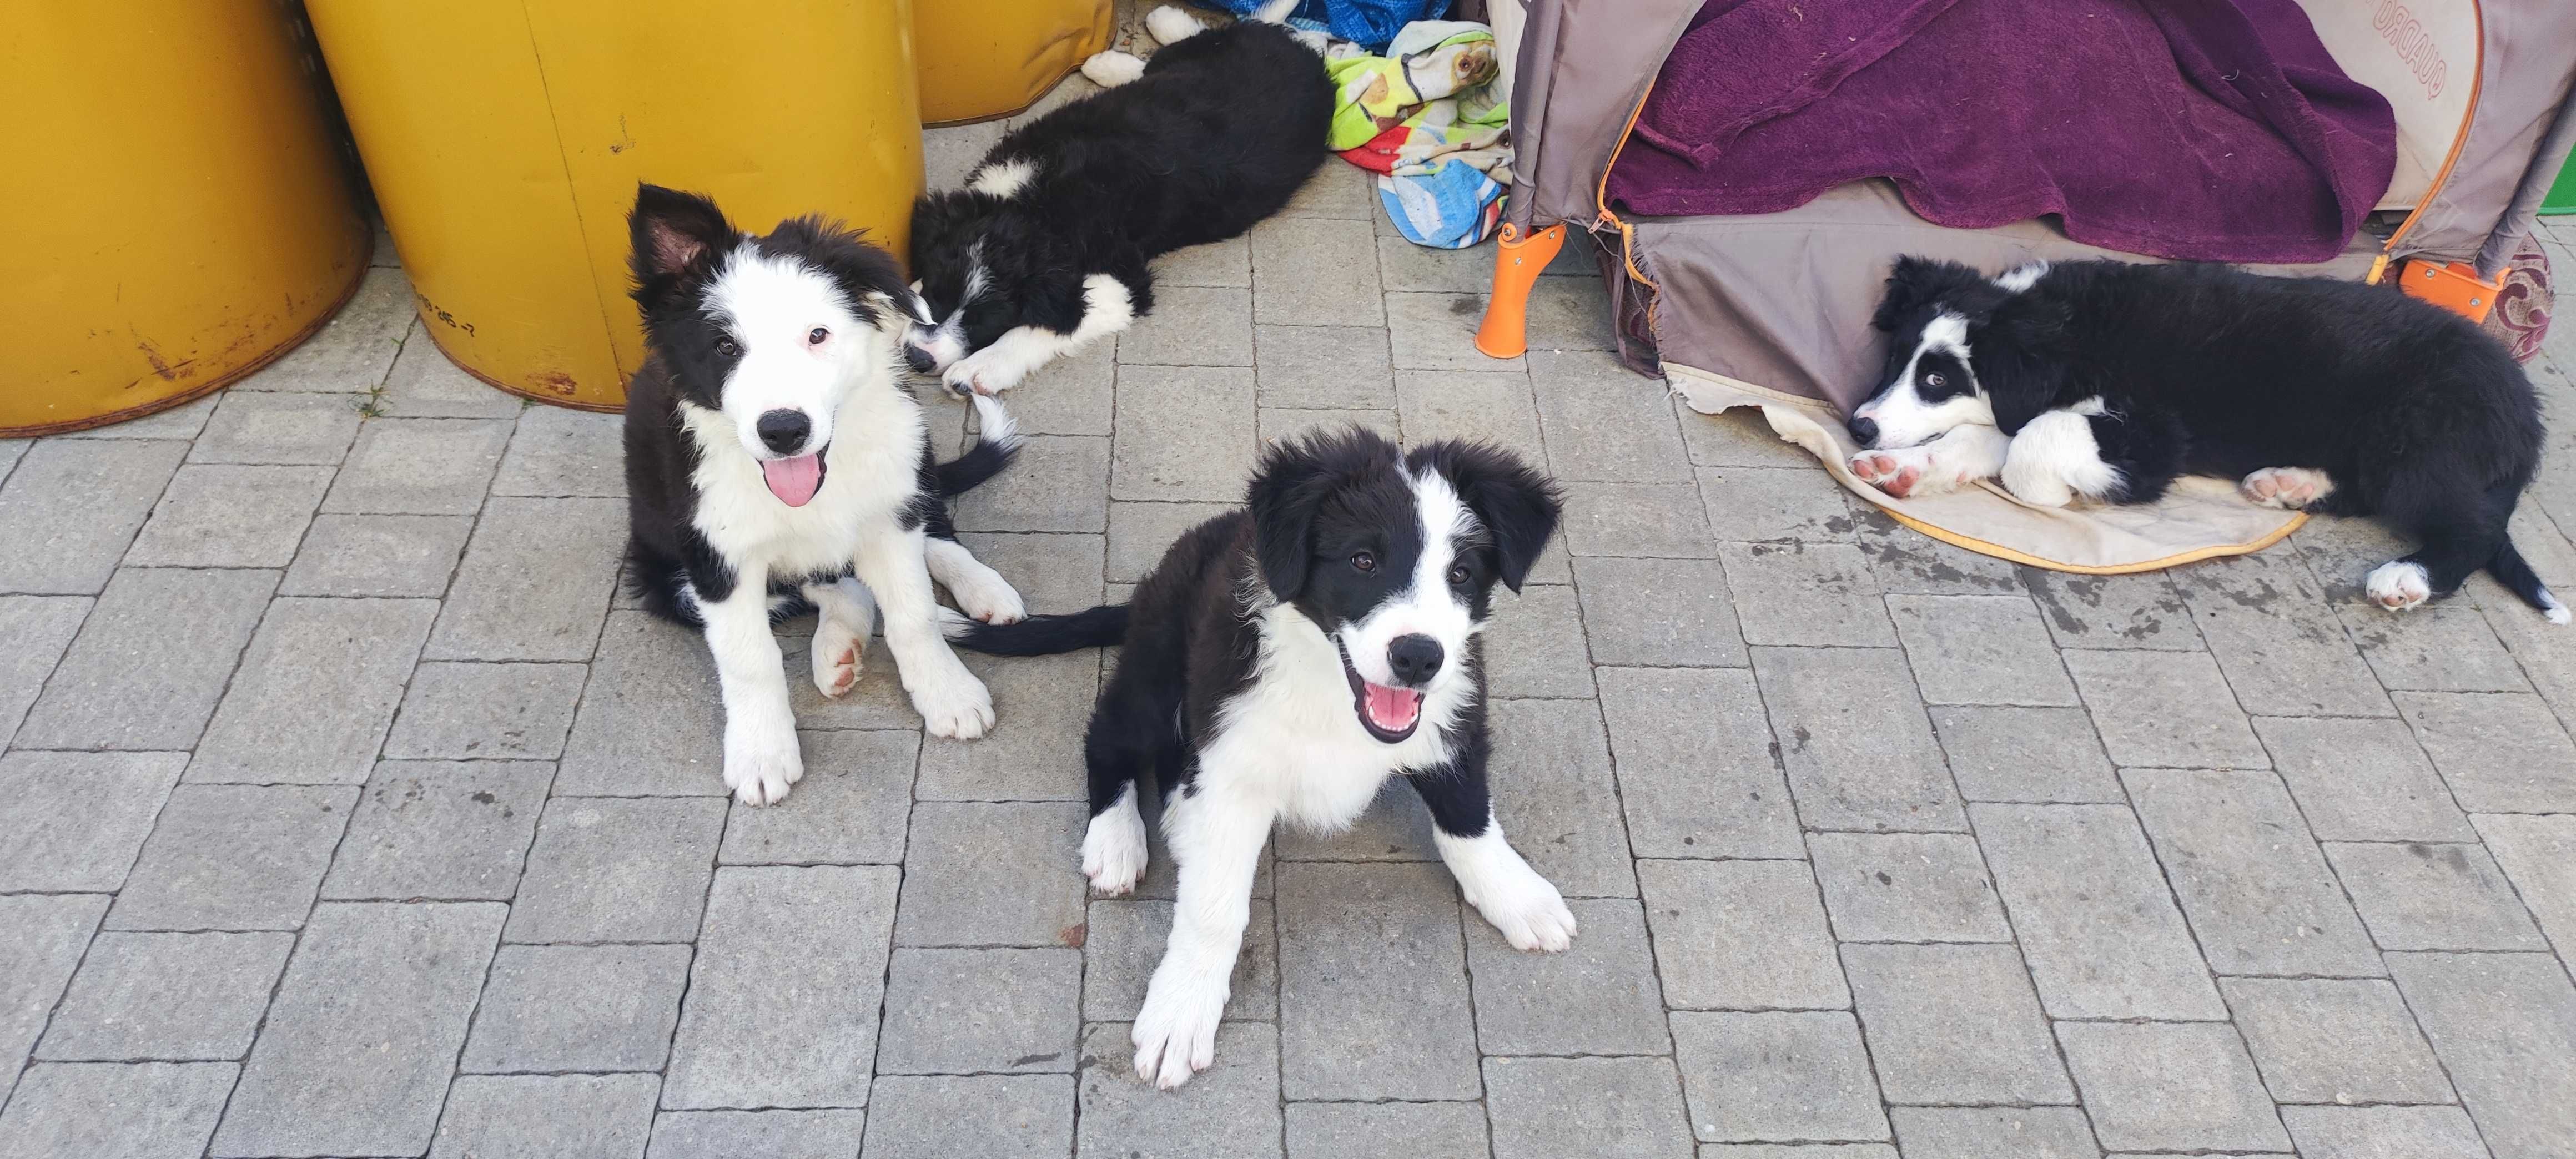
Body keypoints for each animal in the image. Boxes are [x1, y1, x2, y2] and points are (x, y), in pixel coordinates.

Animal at [621, 188, 1025, 803]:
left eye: (818, 335)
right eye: (724, 347)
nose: (783, 430)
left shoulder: (887, 517)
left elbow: (914, 614)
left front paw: (948, 693)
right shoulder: (717, 555)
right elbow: (749, 657)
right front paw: (761, 753)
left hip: (908, 459)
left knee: (927, 529)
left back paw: (982, 588)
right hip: (663, 573)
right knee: (830, 585)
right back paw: (838, 645)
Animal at [902, 4, 1329, 396]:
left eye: (986, 322)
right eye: (935, 293)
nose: (918, 358)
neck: (1035, 204)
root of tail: (1294, 46)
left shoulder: (1121, 277)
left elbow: (1052, 323)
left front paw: (980, 368)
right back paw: (1130, 45)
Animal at [948, 430, 1566, 1092]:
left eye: (1461, 573)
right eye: (1363, 562)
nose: (1419, 657)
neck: (1331, 689)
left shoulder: (1456, 717)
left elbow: (1468, 817)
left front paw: (1517, 896)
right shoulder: (1234, 756)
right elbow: (1214, 909)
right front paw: (1182, 1009)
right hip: (1158, 666)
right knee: (1108, 737)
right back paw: (1117, 839)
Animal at [1854, 258, 2555, 621]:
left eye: (1936, 379)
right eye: (1894, 360)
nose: (1859, 424)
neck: (2061, 325)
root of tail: (2524, 410)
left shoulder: (2155, 435)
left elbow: (2030, 443)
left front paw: (2065, 490)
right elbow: (1999, 433)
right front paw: (1902, 466)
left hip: (2418, 443)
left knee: (2472, 530)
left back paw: (2408, 578)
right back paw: (2288, 483)